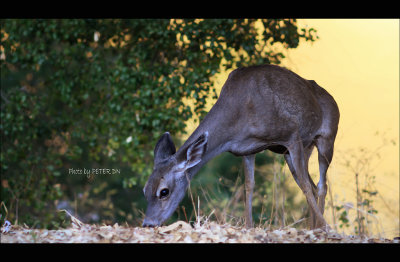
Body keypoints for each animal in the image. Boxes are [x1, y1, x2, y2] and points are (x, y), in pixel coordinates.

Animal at [142, 64, 340, 230]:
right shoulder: (247, 149)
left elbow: (305, 186)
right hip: (298, 150)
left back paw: (321, 227)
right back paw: (312, 227)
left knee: (320, 185)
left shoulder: (291, 133)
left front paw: (326, 228)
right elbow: (249, 186)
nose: (148, 223)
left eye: (164, 191)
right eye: (144, 190)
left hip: (326, 138)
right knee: (311, 184)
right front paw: (248, 226)